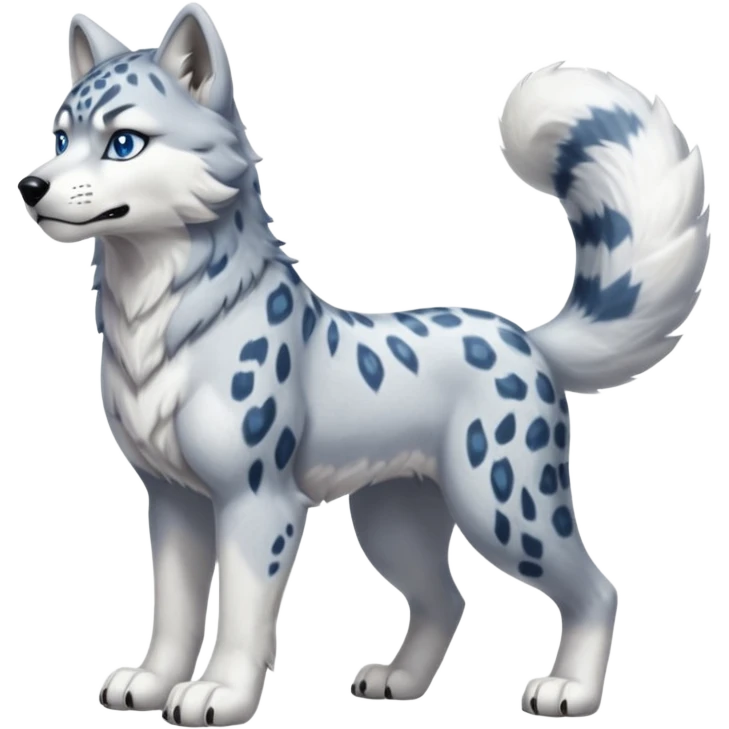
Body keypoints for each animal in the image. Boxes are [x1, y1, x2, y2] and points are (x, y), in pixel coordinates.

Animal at [17, 5, 710, 726]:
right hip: (393, 521)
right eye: (61, 136)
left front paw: (221, 693)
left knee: (596, 589)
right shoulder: (173, 500)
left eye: (124, 142)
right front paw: (152, 684)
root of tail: (524, 336)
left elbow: (240, 614)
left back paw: (568, 688)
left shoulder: (257, 500)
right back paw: (400, 681)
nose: (30, 185)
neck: (156, 322)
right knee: (447, 598)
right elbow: (174, 611)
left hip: (504, 505)